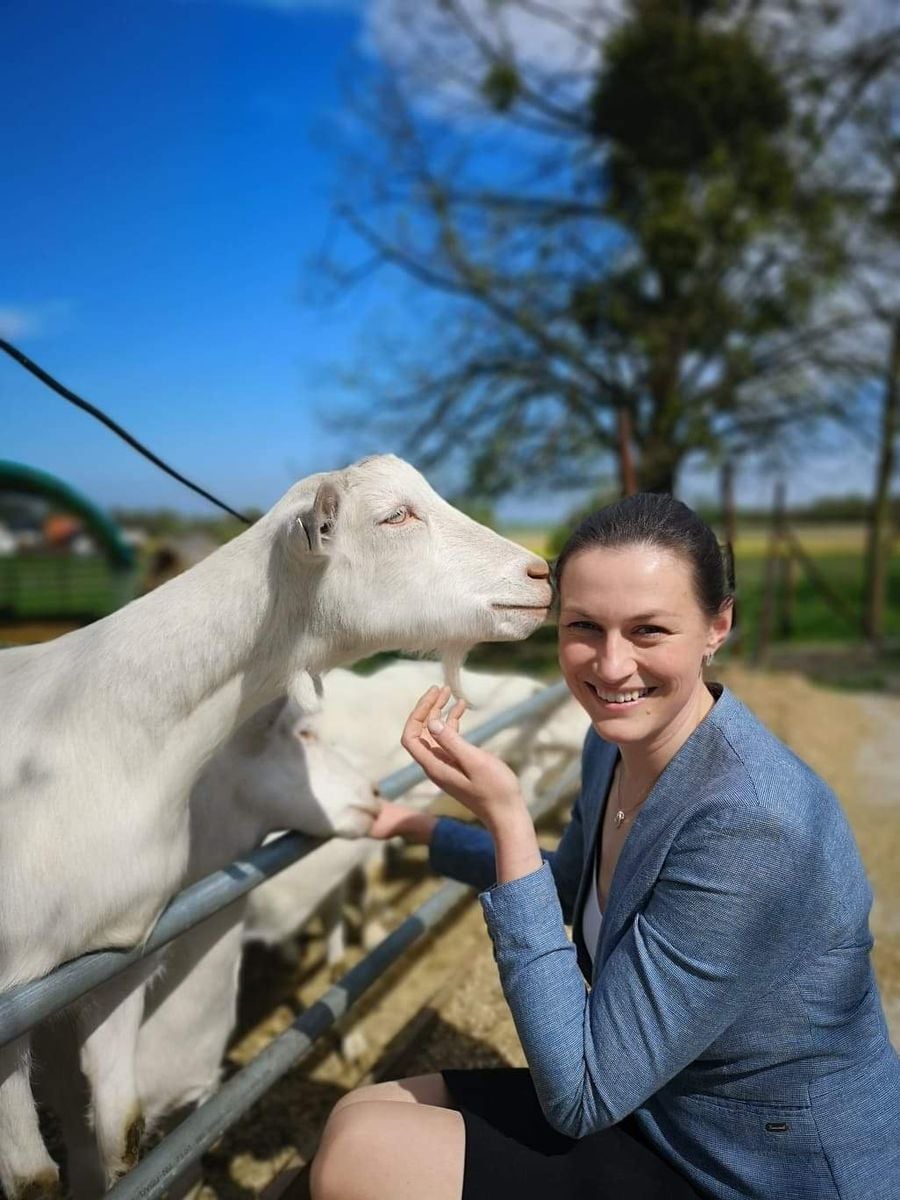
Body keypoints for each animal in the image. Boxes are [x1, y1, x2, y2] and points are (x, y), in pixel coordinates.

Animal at [0, 456, 549, 1200]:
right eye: (394, 517)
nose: (541, 573)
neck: (104, 733)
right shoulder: (14, 1010)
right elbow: (35, 1179)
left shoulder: (113, 969)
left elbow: (122, 1140)